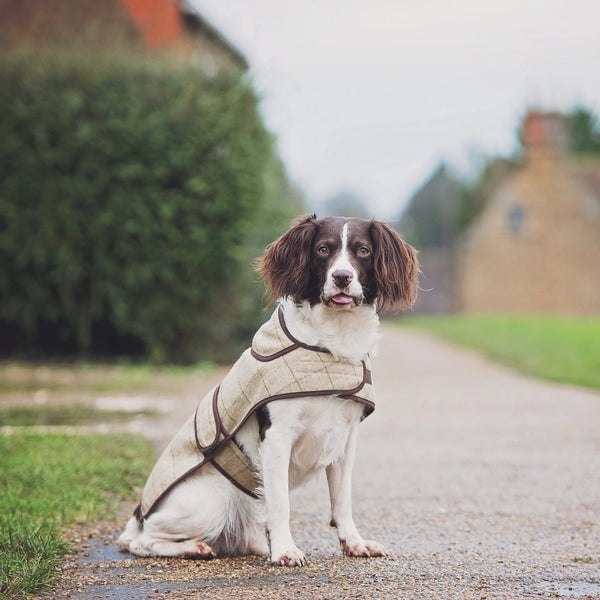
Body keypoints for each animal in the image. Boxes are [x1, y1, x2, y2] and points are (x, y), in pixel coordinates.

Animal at [116, 214, 418, 568]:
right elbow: (281, 504)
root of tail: (138, 514)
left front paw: (354, 543)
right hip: (212, 501)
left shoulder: (345, 439)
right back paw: (192, 547)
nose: (342, 277)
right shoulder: (276, 435)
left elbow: (342, 501)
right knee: (141, 542)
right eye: (323, 249)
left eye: (363, 250)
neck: (330, 345)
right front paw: (286, 550)